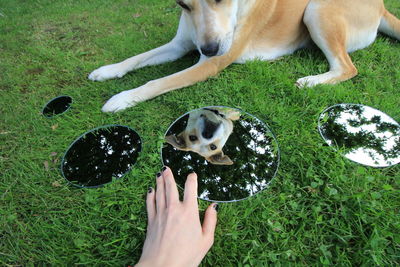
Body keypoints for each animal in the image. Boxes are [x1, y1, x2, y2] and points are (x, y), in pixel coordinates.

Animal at [89, 0, 398, 113]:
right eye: (183, 4)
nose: (209, 49)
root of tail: (382, 6)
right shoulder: (179, 45)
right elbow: (137, 58)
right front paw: (108, 70)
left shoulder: (209, 65)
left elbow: (157, 82)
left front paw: (122, 98)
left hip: (317, 9)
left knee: (347, 67)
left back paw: (311, 81)